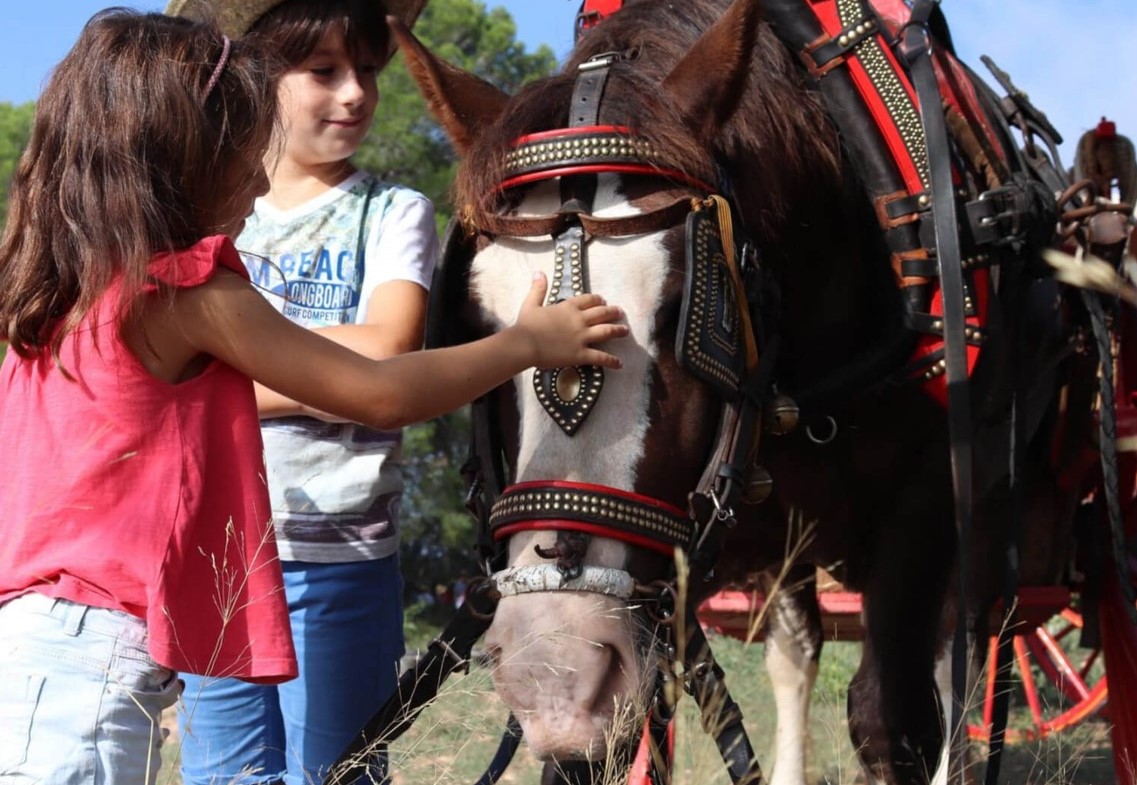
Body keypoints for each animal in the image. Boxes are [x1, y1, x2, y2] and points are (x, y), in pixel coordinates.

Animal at [388, 0, 1100, 778]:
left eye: (688, 309)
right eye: (478, 322)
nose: (555, 669)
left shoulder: (927, 504)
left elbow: (894, 718)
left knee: (965, 659)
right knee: (798, 655)